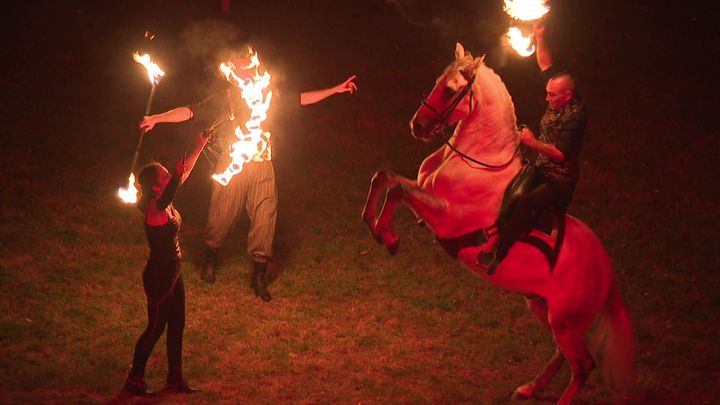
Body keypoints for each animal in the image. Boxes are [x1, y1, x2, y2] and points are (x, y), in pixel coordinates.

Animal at [362, 43, 632, 404]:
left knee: (583, 365)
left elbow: (397, 190)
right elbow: (384, 177)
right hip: (543, 308)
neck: (477, 161)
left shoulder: (444, 218)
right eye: (436, 81)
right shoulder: (425, 196)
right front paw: (371, 223)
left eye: (451, 91)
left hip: (566, 321)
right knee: (562, 354)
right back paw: (530, 387)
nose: (416, 125)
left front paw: (388, 237)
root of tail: (606, 270)